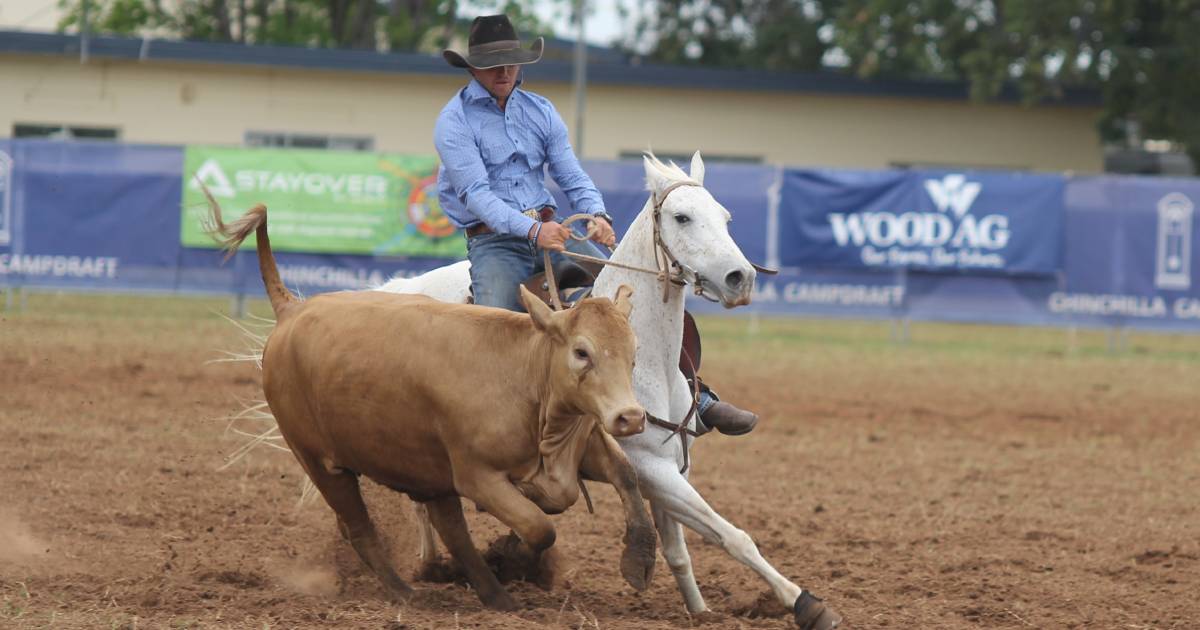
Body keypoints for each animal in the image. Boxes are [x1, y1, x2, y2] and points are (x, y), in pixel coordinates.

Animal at [379, 153, 840, 628]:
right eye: (682, 216)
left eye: (725, 217)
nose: (740, 277)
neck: (644, 358)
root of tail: (400, 288)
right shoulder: (648, 465)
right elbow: (732, 535)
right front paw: (801, 601)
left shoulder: (673, 466)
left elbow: (680, 548)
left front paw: (699, 609)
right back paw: (431, 563)